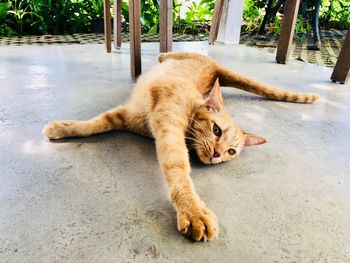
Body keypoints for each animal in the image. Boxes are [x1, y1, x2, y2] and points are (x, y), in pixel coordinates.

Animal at [42, 52, 318, 243]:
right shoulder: (161, 127)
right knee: (165, 54)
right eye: (216, 130)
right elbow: (177, 169)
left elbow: (98, 124)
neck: (193, 107)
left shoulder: (129, 118)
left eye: (231, 152)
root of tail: (216, 67)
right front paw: (193, 209)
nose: (217, 154)